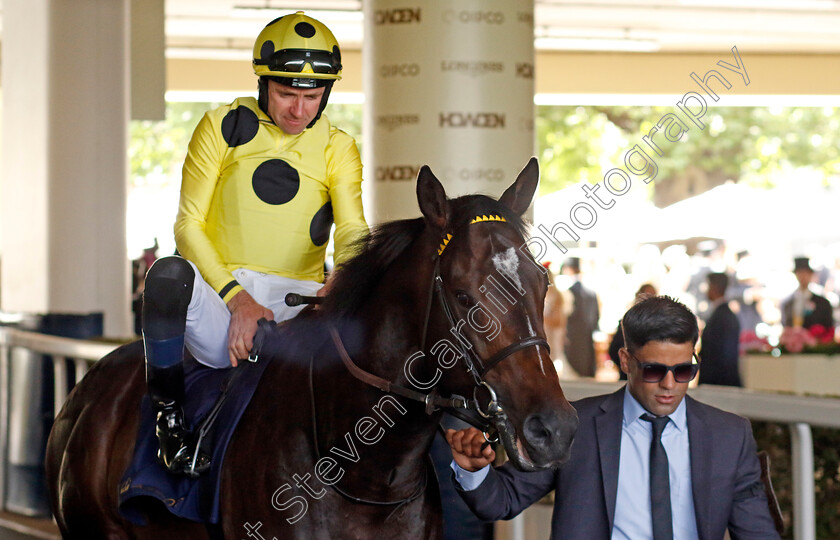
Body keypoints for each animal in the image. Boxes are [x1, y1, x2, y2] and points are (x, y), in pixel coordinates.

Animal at [47, 158, 576, 536]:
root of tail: (86, 391)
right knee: (170, 273)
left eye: (543, 283)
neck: (364, 471)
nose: (553, 429)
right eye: (465, 297)